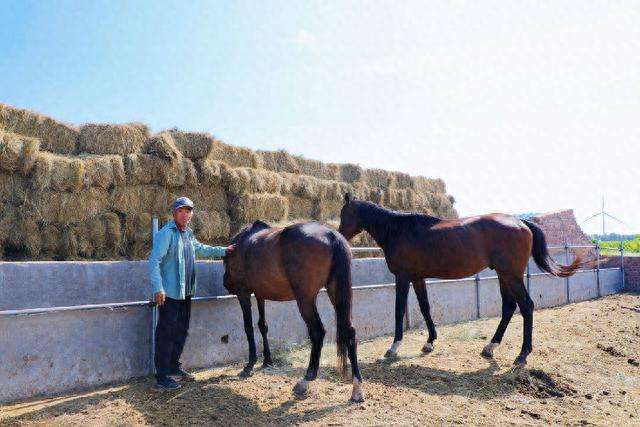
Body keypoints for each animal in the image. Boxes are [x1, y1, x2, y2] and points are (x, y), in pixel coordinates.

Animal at [222, 221, 362, 402]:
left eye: (225, 262)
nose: (226, 283)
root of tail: (331, 235)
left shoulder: (243, 292)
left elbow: (248, 327)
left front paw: (250, 365)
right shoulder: (260, 294)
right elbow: (263, 325)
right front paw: (267, 360)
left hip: (305, 298)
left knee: (317, 332)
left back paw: (306, 379)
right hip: (336, 291)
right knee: (349, 331)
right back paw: (357, 387)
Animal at [338, 196, 584, 366]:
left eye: (344, 214)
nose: (339, 235)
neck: (399, 231)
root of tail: (520, 222)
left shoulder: (403, 277)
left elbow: (399, 310)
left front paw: (394, 347)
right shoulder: (417, 278)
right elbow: (425, 307)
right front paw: (429, 342)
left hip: (511, 276)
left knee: (526, 306)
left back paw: (522, 354)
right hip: (504, 275)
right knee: (508, 307)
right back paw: (490, 347)